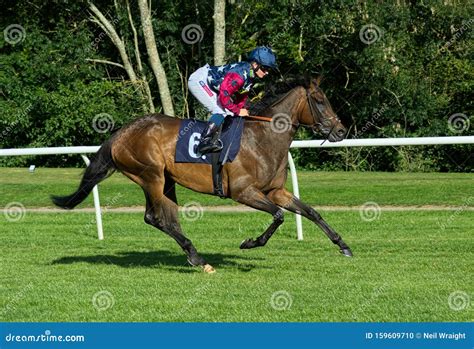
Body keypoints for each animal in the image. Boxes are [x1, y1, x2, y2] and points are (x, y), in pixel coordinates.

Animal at [53, 77, 354, 274]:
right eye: (319, 101)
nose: (340, 131)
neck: (262, 139)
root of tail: (121, 132)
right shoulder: (243, 192)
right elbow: (279, 216)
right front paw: (250, 243)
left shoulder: (276, 191)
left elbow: (311, 212)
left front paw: (343, 245)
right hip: (150, 176)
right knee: (155, 217)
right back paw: (197, 258)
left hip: (166, 180)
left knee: (167, 218)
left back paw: (194, 256)